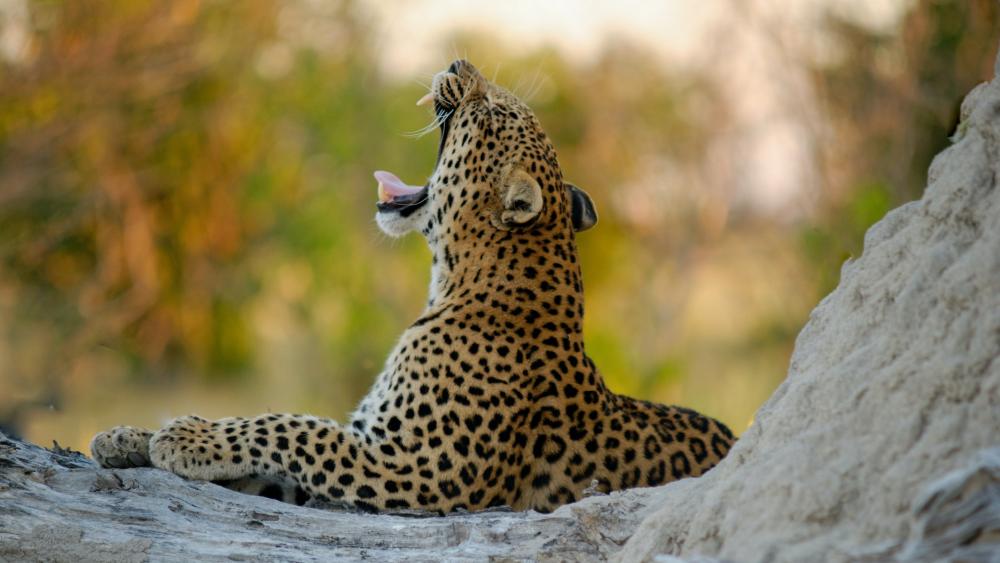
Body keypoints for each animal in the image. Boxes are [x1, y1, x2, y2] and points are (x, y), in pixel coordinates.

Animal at [90, 60, 736, 514]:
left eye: (493, 111)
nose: (458, 62)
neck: (454, 280)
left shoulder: (415, 469)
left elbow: (295, 426)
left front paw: (184, 434)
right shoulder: (365, 444)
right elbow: (274, 450)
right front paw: (128, 436)